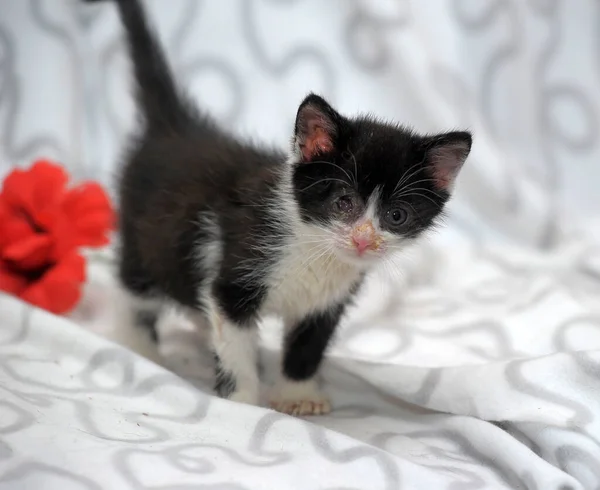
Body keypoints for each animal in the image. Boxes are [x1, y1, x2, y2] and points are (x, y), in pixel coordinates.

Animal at [90, 0, 474, 418]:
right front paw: (242, 400)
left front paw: (297, 394)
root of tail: (175, 127)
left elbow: (308, 345)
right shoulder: (238, 271)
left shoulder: (327, 301)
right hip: (143, 234)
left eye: (397, 215)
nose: (363, 240)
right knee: (136, 287)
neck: (312, 245)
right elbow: (234, 339)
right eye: (343, 201)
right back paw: (138, 345)